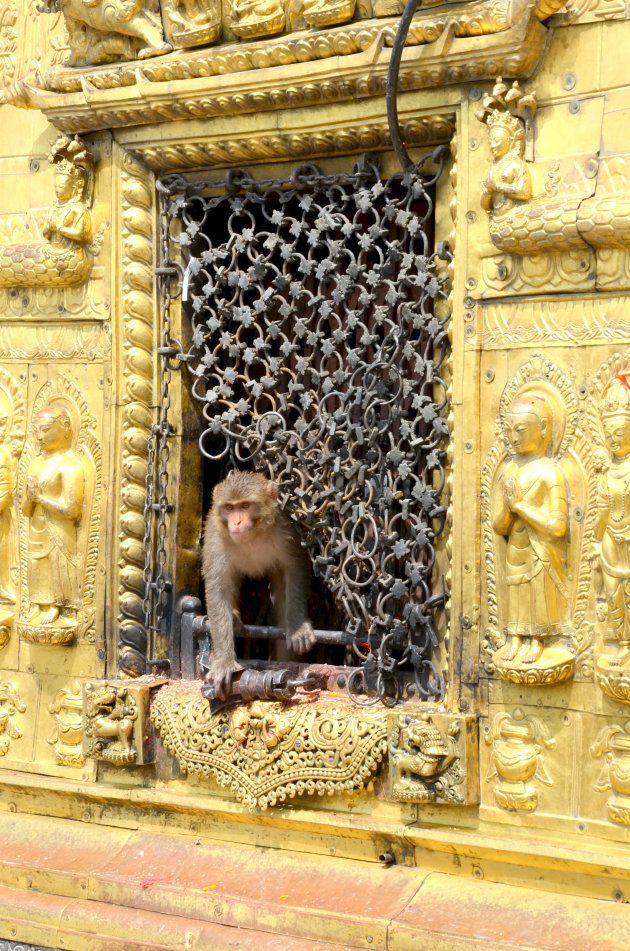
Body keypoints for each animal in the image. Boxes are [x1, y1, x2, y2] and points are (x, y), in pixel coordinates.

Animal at [205, 470, 318, 700]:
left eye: (246, 505)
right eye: (229, 508)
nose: (237, 522)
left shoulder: (284, 529)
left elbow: (296, 567)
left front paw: (298, 627)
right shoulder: (215, 538)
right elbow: (218, 588)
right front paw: (224, 662)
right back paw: (234, 616)